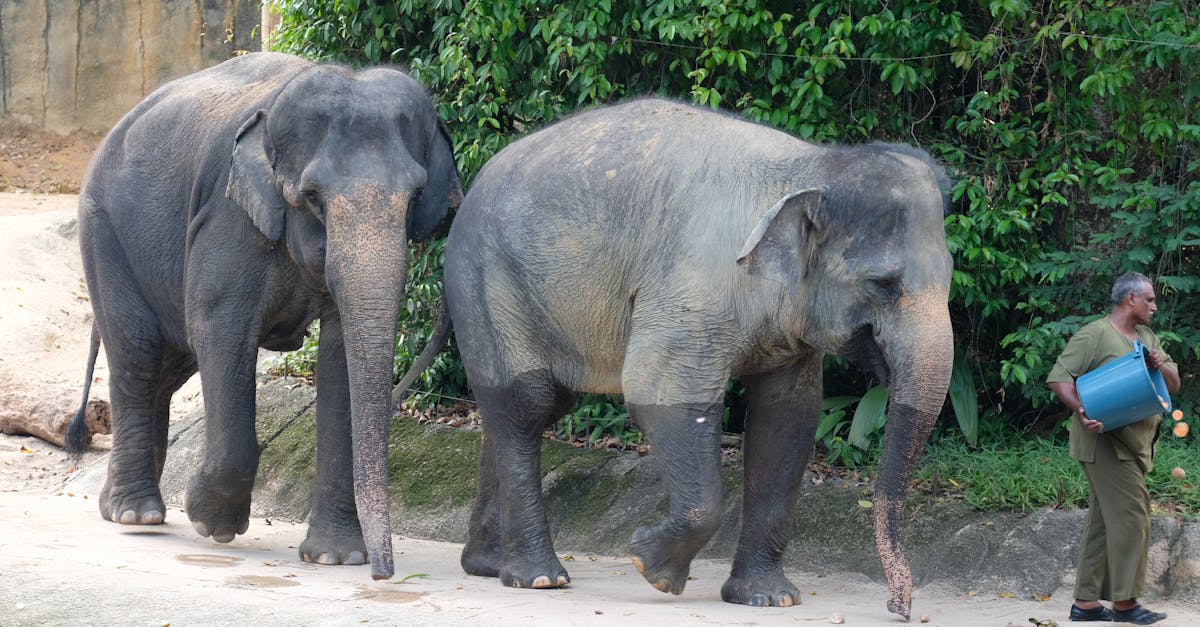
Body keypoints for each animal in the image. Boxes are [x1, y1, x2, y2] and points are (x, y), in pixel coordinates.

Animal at [64, 52, 461, 581]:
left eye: (415, 197)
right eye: (312, 196)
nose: (383, 574)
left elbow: (340, 358)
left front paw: (336, 557)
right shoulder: (229, 219)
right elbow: (219, 328)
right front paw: (211, 523)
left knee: (167, 369)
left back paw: (123, 505)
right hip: (102, 229)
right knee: (139, 356)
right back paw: (136, 515)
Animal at [418, 98, 951, 618]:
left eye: (950, 274)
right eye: (882, 284)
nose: (900, 609)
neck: (809, 166)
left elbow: (787, 418)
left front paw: (770, 598)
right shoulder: (689, 287)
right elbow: (660, 393)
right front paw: (649, 566)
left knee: (527, 409)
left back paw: (489, 567)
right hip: (488, 282)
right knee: (525, 403)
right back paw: (540, 579)